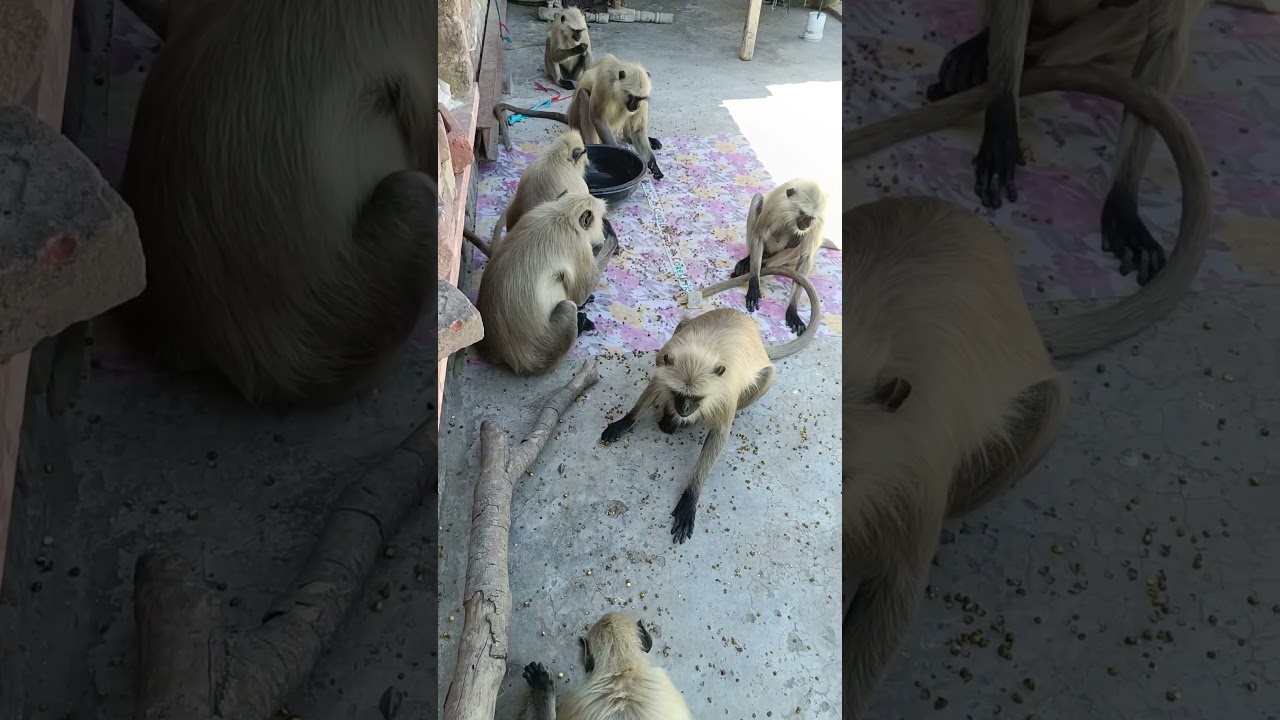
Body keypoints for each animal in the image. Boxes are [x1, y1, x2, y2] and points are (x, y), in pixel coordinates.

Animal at [474, 192, 618, 376]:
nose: (601, 234)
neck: (563, 214)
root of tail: (497, 352)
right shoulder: (578, 244)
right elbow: (580, 293)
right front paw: (610, 237)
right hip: (543, 353)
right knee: (568, 306)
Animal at [496, 54, 665, 180]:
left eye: (640, 98)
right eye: (632, 96)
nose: (635, 106)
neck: (617, 72)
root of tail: (569, 116)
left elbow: (638, 129)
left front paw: (652, 163)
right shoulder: (605, 82)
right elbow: (597, 118)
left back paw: (637, 139)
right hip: (578, 119)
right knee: (584, 95)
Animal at [600, 267, 821, 543]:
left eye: (696, 398)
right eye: (679, 394)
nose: (684, 409)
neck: (704, 351)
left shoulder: (725, 391)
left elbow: (719, 434)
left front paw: (690, 496)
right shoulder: (666, 362)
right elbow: (655, 385)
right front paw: (625, 422)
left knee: (768, 375)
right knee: (684, 321)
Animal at [728, 179, 829, 335]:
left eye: (811, 218)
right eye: (802, 213)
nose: (806, 224)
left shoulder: (817, 222)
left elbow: (805, 257)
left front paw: (793, 310)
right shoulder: (777, 207)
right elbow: (759, 235)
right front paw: (754, 284)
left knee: (799, 241)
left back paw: (764, 264)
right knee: (758, 198)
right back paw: (749, 261)